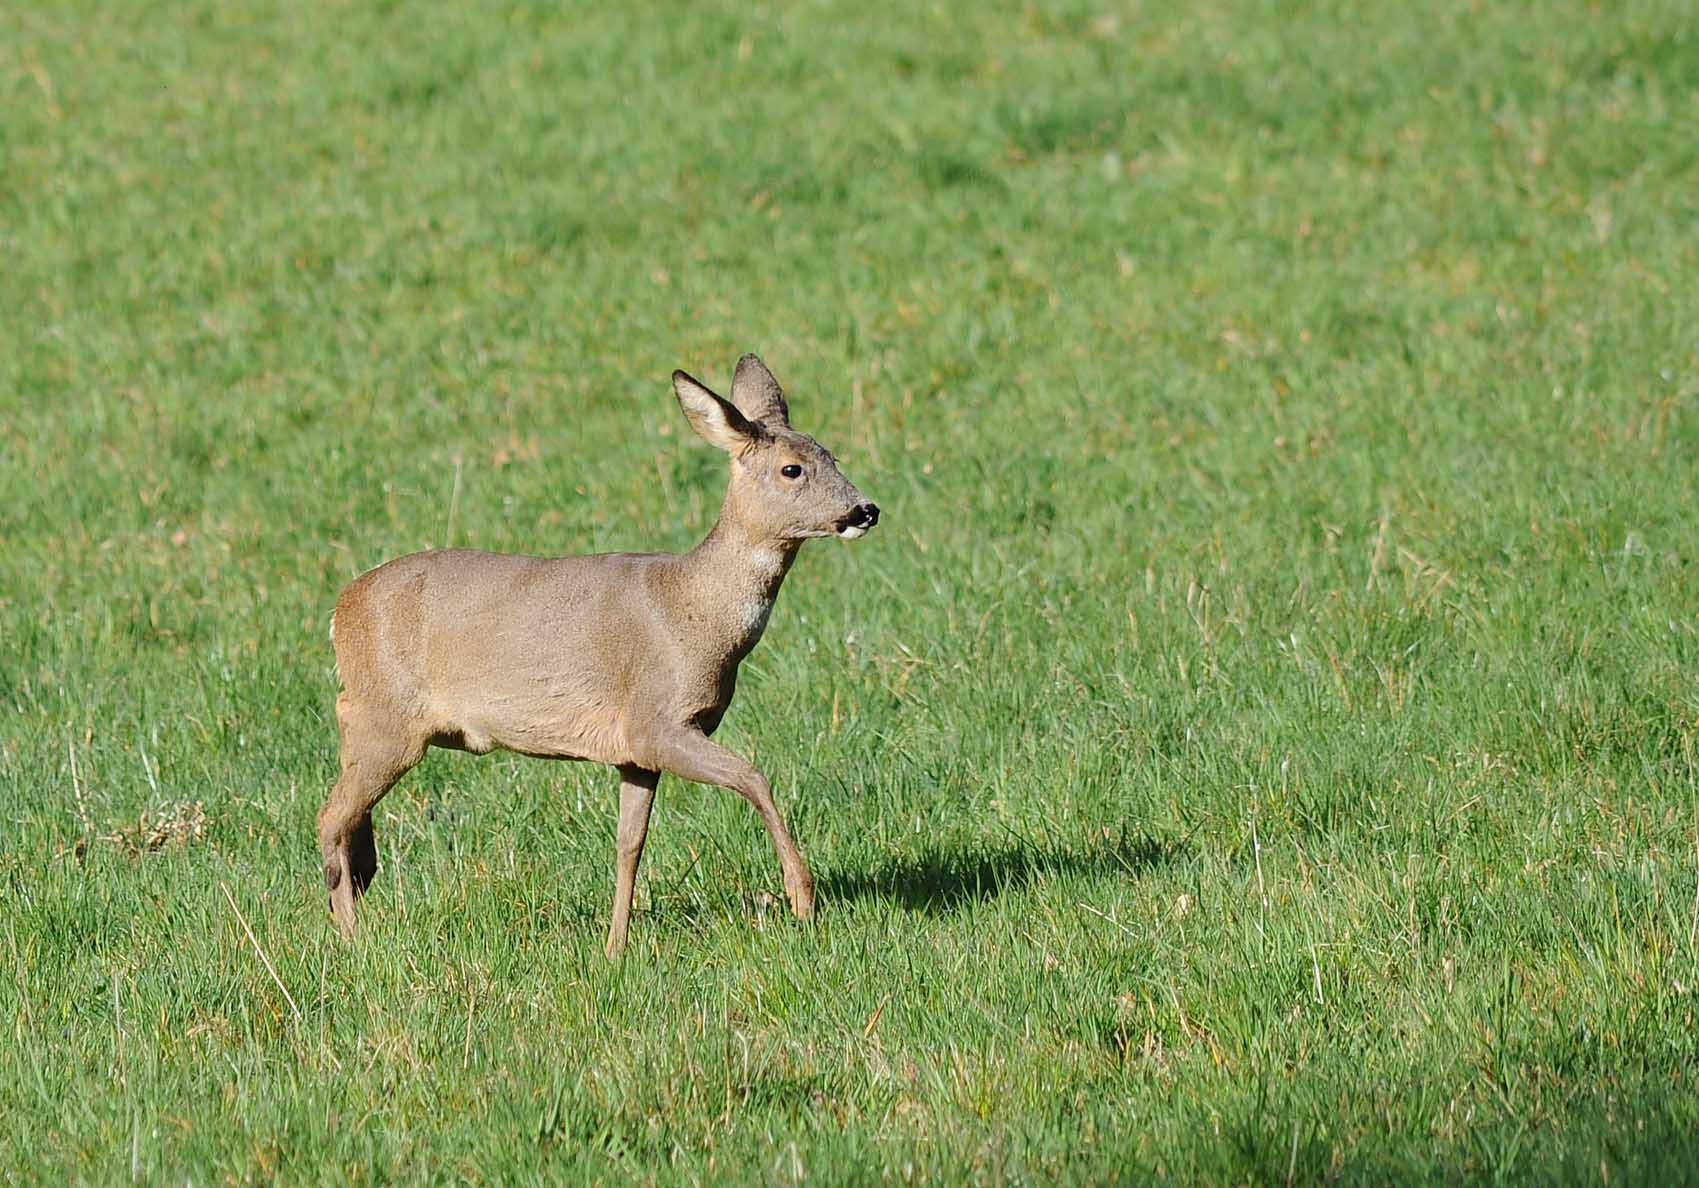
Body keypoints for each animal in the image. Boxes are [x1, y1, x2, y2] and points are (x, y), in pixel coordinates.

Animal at [319, 353, 883, 958]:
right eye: (792, 469)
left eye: (833, 455)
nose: (865, 510)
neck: (694, 610)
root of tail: (340, 609)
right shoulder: (657, 720)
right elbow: (753, 776)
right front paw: (801, 896)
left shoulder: (636, 752)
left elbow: (629, 843)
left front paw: (615, 945)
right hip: (390, 717)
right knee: (330, 815)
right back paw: (352, 935)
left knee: (347, 798)